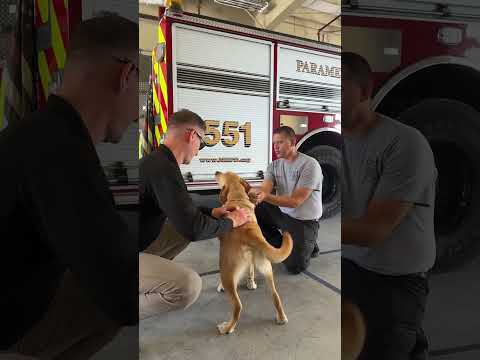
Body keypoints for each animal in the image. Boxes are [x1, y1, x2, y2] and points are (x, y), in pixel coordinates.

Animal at [214, 172, 292, 334]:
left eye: (223, 174)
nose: (216, 172)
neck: (238, 197)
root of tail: (249, 232)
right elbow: (250, 271)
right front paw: (251, 283)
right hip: (267, 268)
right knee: (275, 296)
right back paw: (281, 318)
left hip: (226, 271)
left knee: (237, 306)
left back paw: (227, 328)